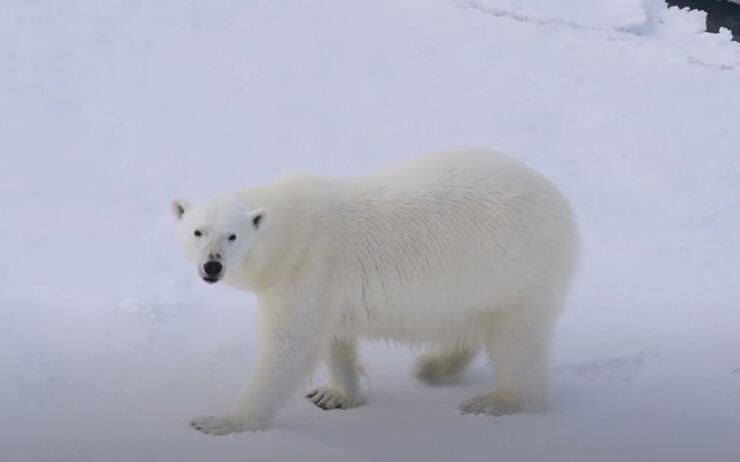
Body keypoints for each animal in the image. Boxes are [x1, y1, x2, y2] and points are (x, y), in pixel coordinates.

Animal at [172, 150, 580, 434]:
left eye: (232, 236)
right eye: (197, 231)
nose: (212, 266)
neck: (291, 229)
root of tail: (563, 203)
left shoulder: (306, 269)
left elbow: (289, 347)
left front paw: (220, 421)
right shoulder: (326, 286)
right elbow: (333, 337)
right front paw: (334, 394)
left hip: (516, 270)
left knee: (517, 340)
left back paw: (496, 401)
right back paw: (433, 366)